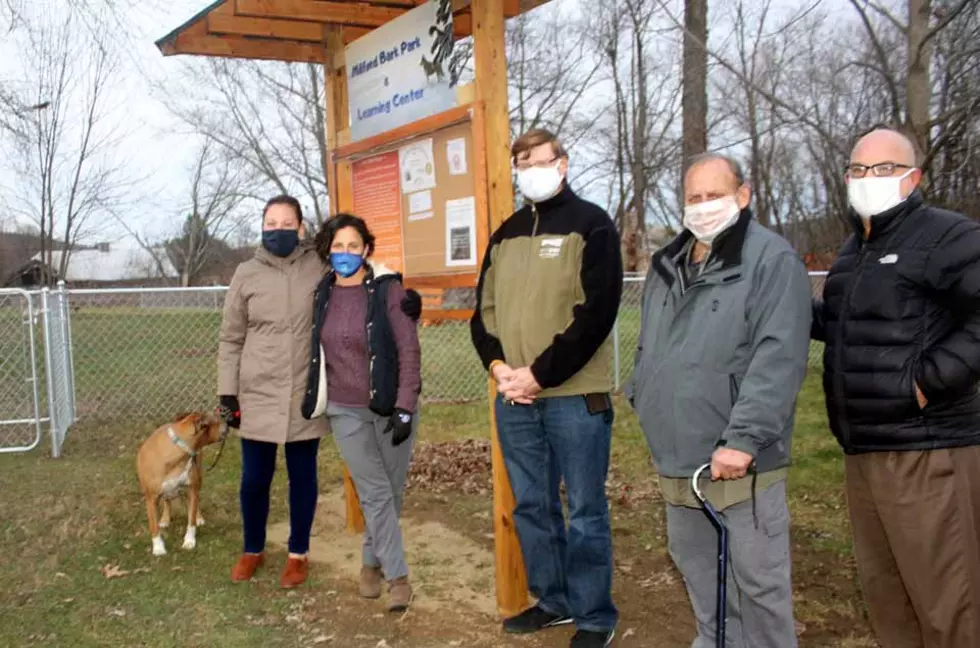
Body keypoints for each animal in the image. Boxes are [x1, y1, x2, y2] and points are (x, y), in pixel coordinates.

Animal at [135, 412, 227, 556]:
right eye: (217, 420)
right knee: (167, 501)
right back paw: (165, 519)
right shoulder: (150, 498)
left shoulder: (191, 489)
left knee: (196, 502)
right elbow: (153, 526)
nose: (227, 423)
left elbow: (191, 520)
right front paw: (158, 547)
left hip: (198, 479)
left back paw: (199, 517)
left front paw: (189, 541)